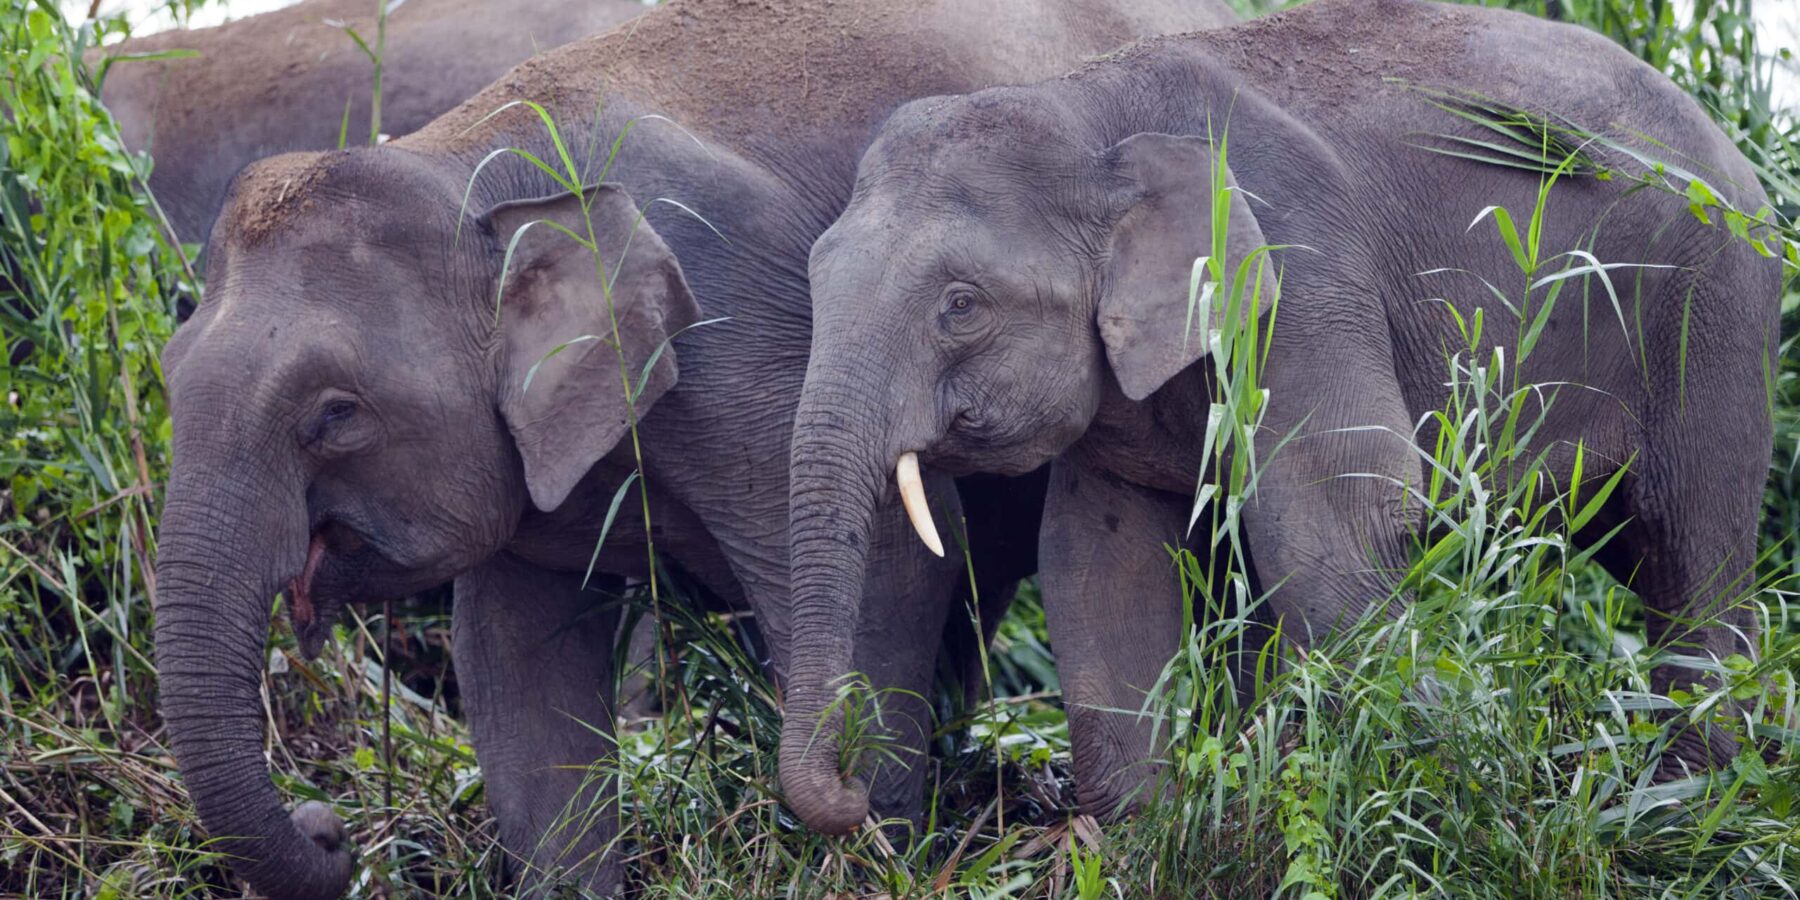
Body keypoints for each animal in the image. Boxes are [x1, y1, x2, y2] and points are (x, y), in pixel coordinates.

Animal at [151, 1, 1238, 900]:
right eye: (167, 370)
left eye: (334, 414)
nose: (329, 827)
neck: (468, 158)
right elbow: (511, 664)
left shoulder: (744, 341)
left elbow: (892, 570)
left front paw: (872, 845)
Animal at [788, 0, 1785, 828]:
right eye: (817, 274)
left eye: (960, 305)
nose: (854, 799)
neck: (1090, 107)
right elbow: (1097, 563)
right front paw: (1148, 840)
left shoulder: (1297, 276)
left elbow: (1335, 522)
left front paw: (1420, 792)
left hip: (1719, 315)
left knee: (1692, 555)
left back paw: (1673, 812)